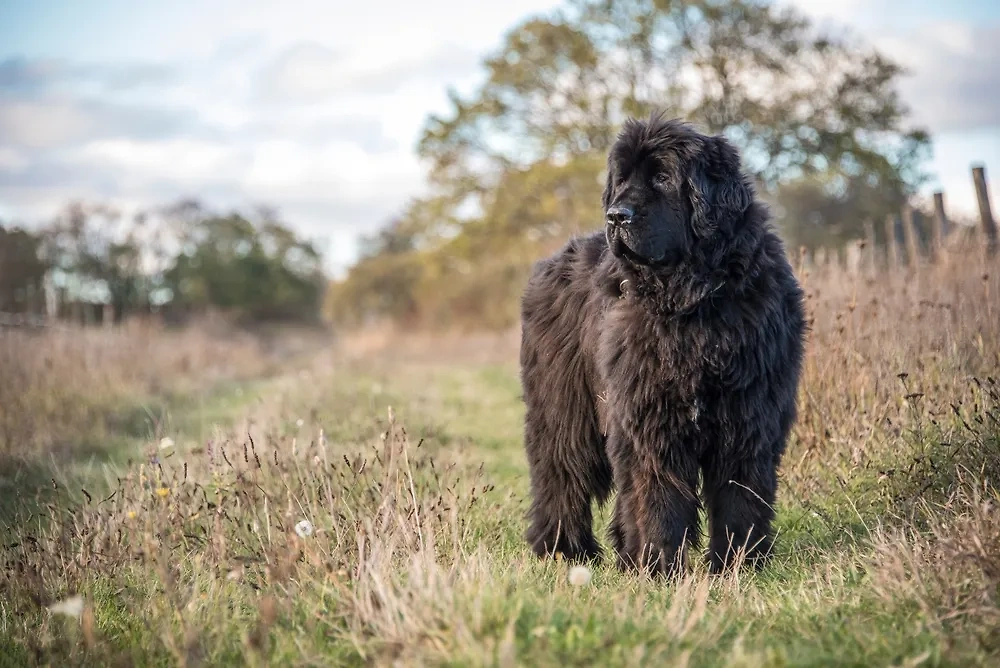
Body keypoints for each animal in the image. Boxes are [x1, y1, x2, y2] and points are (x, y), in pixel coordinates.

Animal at [520, 112, 808, 576]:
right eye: (622, 180)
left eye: (662, 177)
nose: (617, 216)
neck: (693, 303)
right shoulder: (651, 416)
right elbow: (659, 497)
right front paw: (661, 567)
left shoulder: (749, 413)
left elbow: (740, 495)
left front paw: (738, 565)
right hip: (564, 410)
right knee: (561, 475)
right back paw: (564, 551)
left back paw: (622, 555)